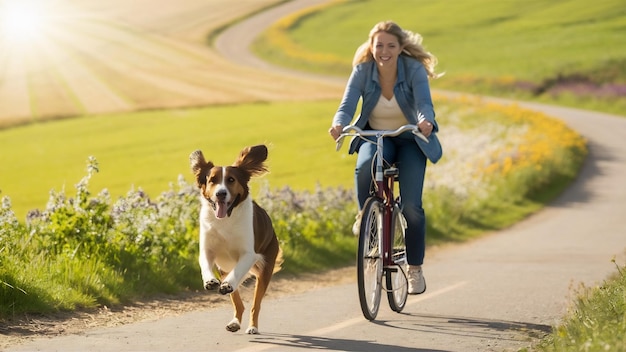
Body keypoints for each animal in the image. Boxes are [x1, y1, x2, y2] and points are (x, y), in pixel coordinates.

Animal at [188, 145, 280, 336]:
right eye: (212, 180)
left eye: (231, 180)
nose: (221, 194)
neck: (226, 221)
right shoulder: (207, 250)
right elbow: (205, 264)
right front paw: (210, 281)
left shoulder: (248, 254)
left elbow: (237, 272)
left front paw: (227, 284)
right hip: (224, 269)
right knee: (238, 303)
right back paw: (234, 323)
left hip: (265, 270)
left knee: (255, 304)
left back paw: (252, 326)